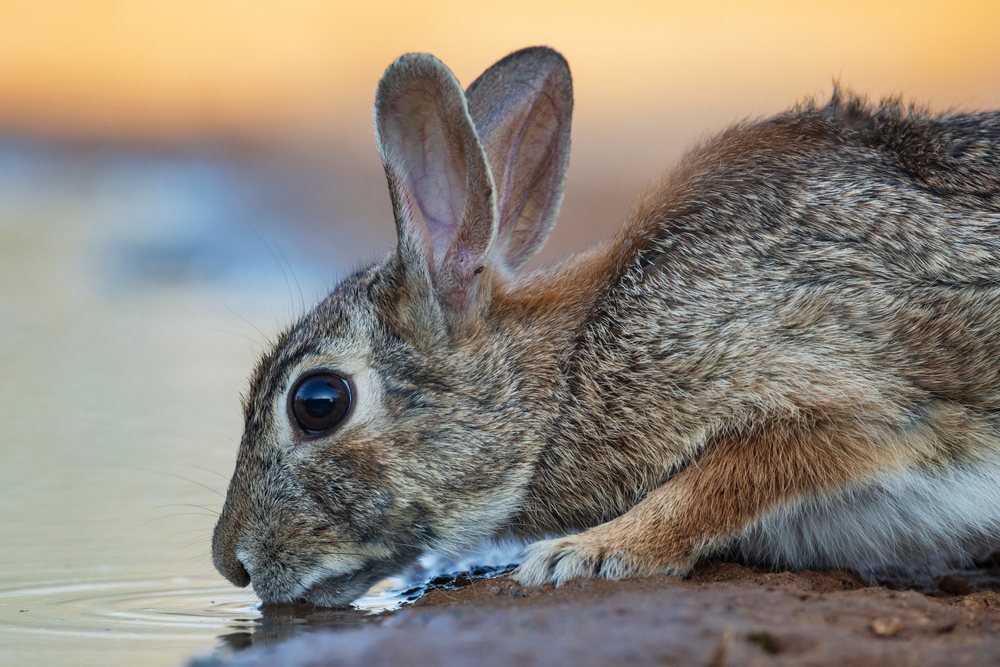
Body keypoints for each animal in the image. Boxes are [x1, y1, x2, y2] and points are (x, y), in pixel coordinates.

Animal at [212, 46, 1000, 608]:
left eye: (318, 402)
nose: (231, 564)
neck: (564, 378)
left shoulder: (845, 387)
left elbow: (724, 477)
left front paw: (584, 554)